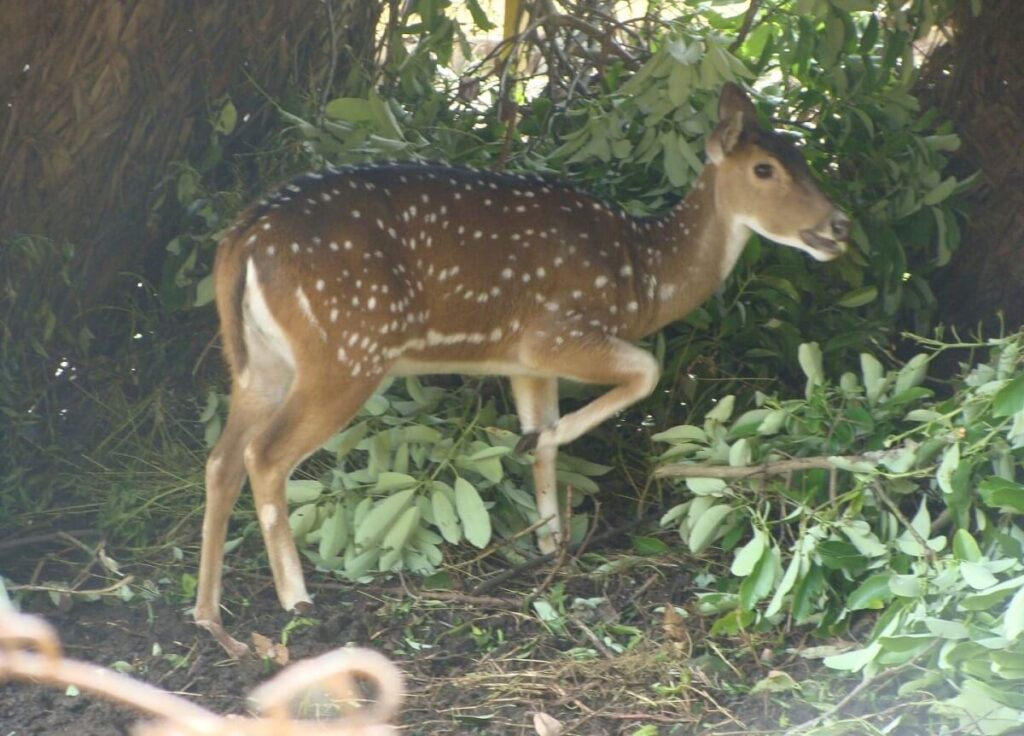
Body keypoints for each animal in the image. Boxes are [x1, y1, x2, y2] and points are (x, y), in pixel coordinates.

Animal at [194, 82, 850, 657]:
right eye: (765, 169)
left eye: (802, 155)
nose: (838, 225)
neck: (641, 278)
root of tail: (241, 242)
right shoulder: (553, 331)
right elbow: (644, 371)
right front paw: (544, 466)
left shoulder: (523, 359)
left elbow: (545, 430)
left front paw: (550, 539)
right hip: (346, 349)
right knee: (264, 455)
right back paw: (295, 599)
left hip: (261, 362)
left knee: (221, 458)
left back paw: (212, 619)